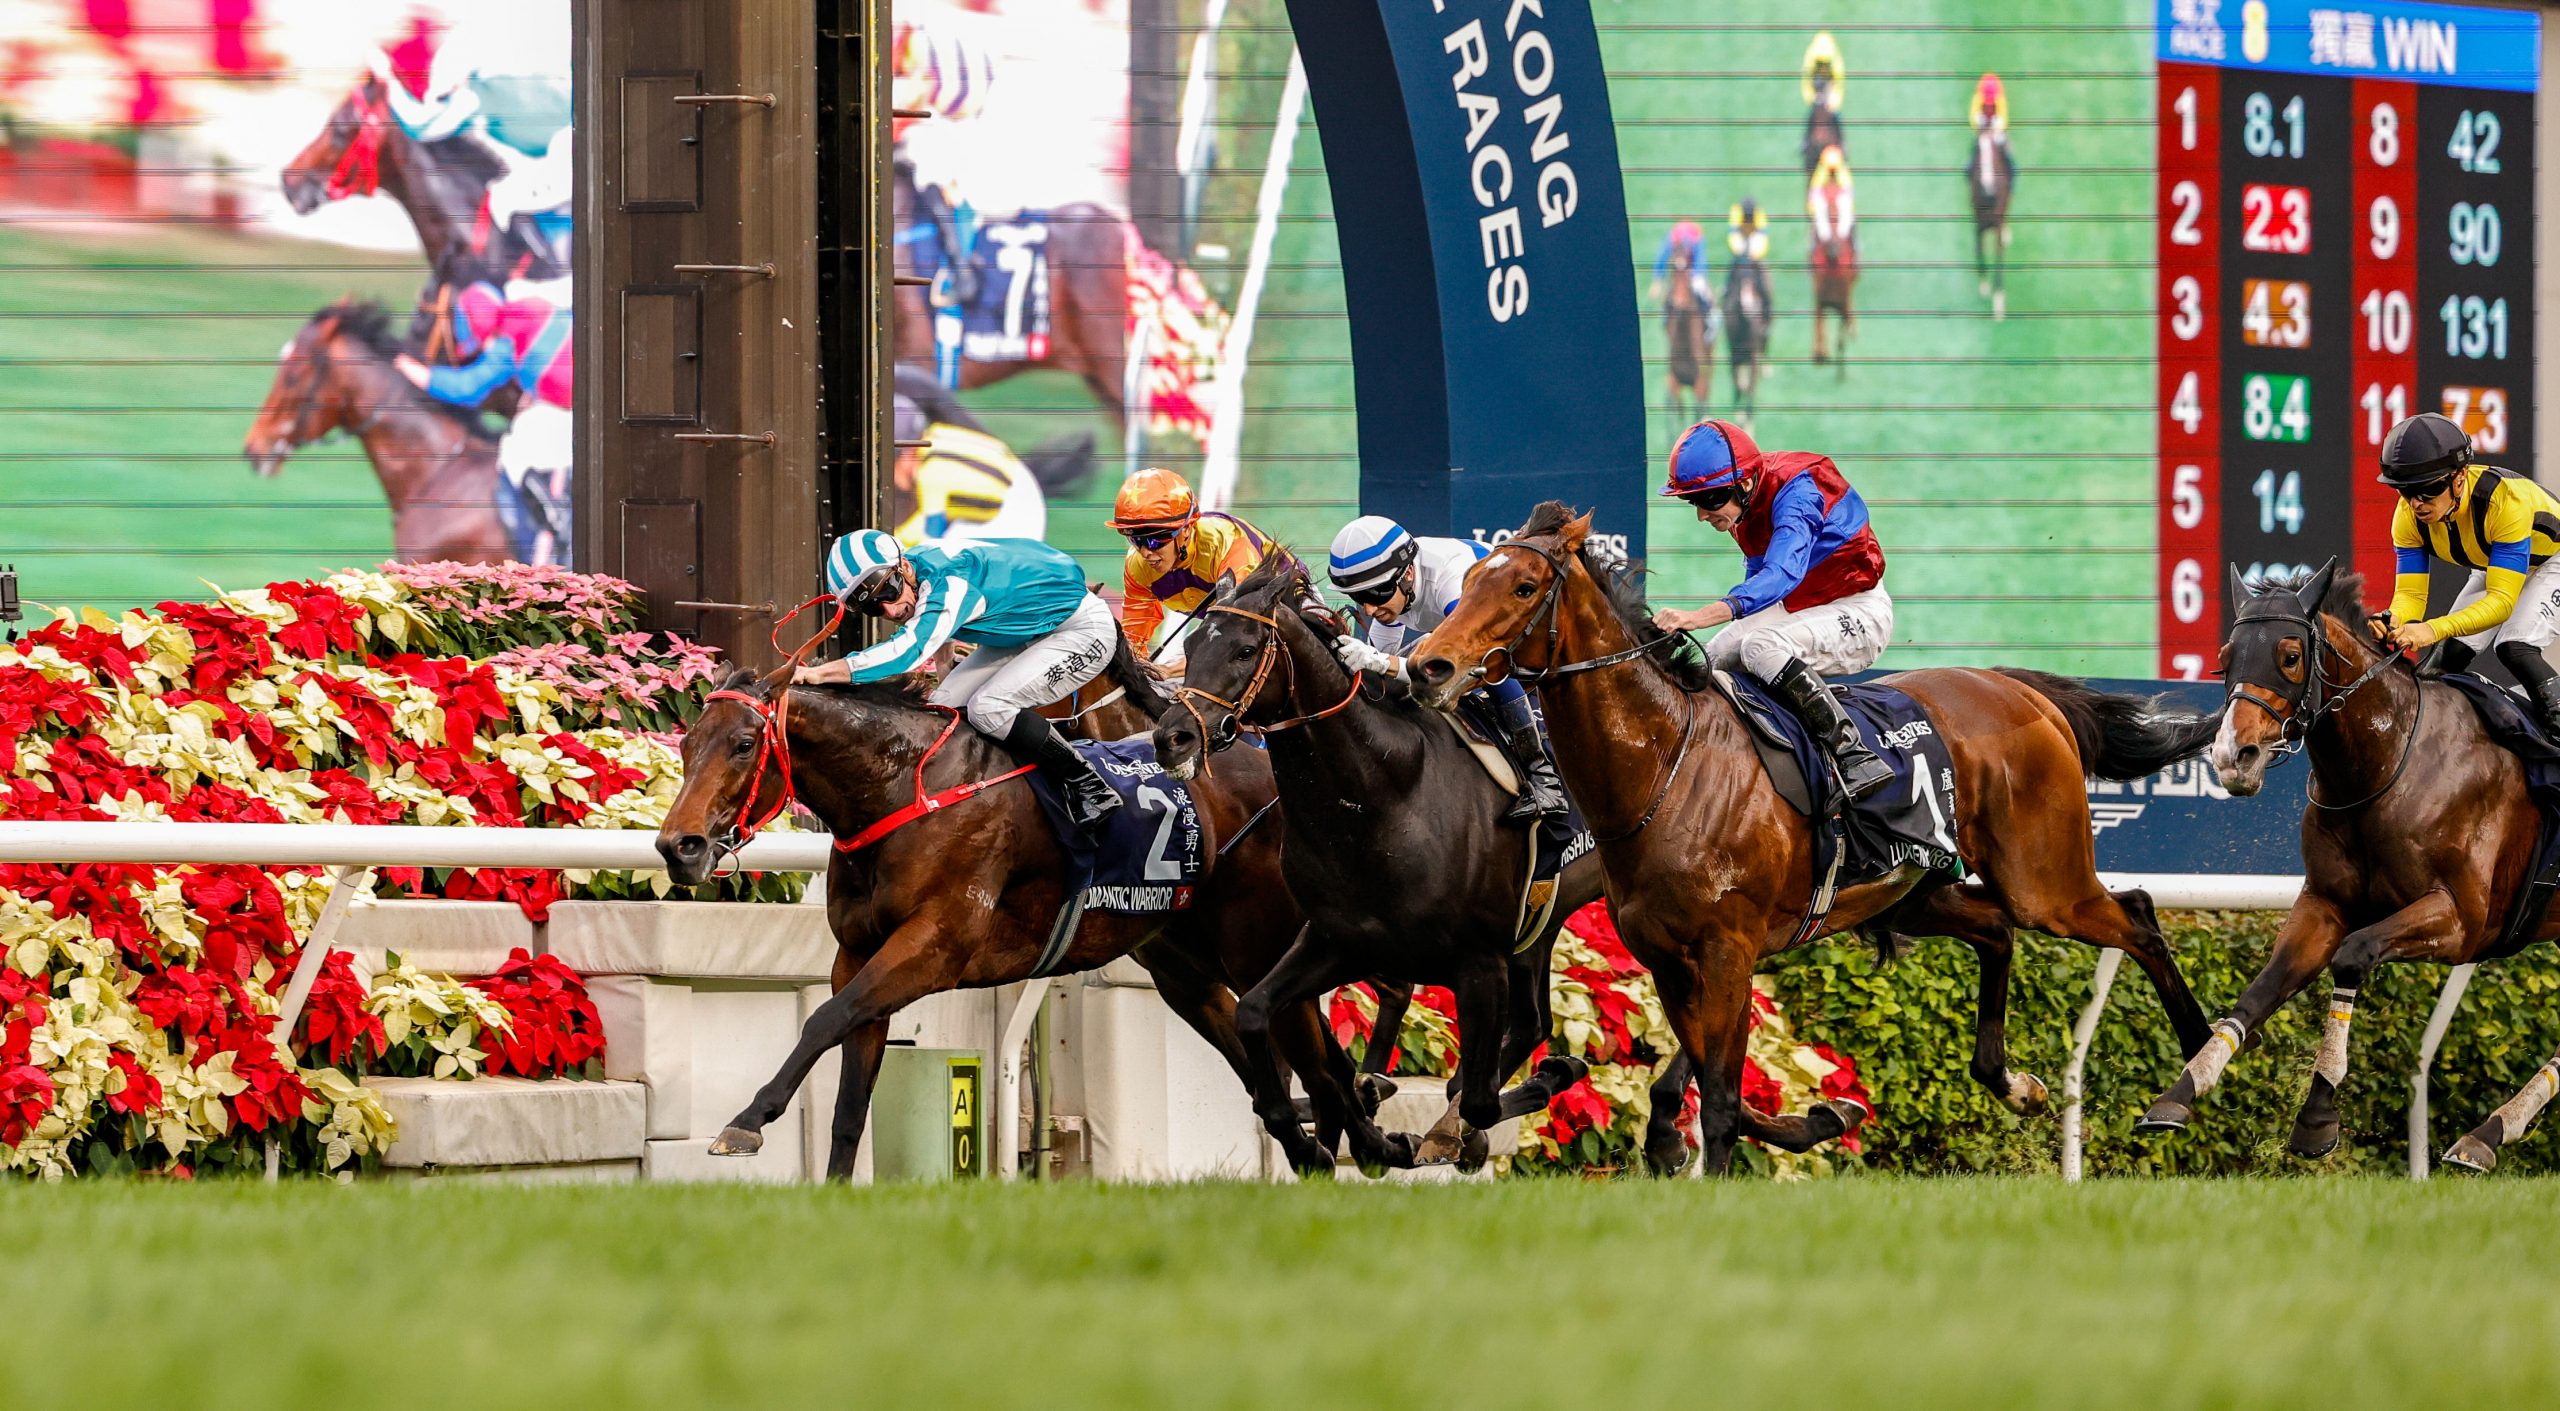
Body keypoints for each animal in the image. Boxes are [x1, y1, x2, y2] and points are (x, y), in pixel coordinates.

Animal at [1402, 501, 2222, 1177]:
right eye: (1467, 577)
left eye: (1521, 587)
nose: (1427, 665)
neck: (1666, 764)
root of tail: (2019, 688)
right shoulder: (1667, 959)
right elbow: (1715, 1087)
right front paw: (1817, 1116)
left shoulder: (1727, 950)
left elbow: (1721, 1100)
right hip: (1912, 891)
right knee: (1997, 929)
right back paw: (2013, 1082)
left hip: (2043, 879)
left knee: (2137, 917)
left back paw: (2192, 1071)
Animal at [2129, 563, 2560, 1172]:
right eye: (2225, 657)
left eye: (2290, 655)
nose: (2232, 758)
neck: (2389, 762)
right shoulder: (2324, 902)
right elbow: (2261, 991)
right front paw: (2177, 1095)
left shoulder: (2463, 921)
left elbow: (2354, 955)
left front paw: (2317, 1116)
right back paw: (2488, 1132)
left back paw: (2491, 1131)